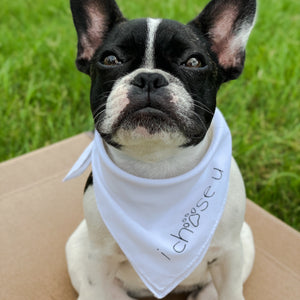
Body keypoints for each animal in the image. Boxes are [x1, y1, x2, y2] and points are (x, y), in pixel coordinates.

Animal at [67, 0, 256, 300]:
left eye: (194, 62)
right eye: (110, 60)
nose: (149, 78)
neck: (157, 166)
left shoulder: (230, 254)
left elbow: (230, 289)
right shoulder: (98, 259)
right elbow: (96, 284)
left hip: (245, 242)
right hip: (76, 247)